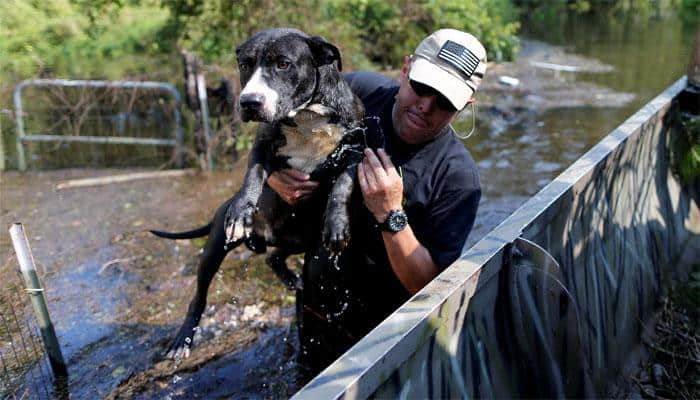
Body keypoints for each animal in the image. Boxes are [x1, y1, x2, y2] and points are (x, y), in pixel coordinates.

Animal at [150, 28, 374, 360]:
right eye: (244, 64)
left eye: (283, 63)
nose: (249, 102)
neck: (306, 117)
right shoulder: (262, 145)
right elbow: (253, 177)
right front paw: (241, 211)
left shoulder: (354, 148)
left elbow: (341, 188)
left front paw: (337, 225)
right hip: (214, 248)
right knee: (199, 296)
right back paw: (182, 339)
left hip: (300, 238)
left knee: (273, 257)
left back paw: (291, 276)